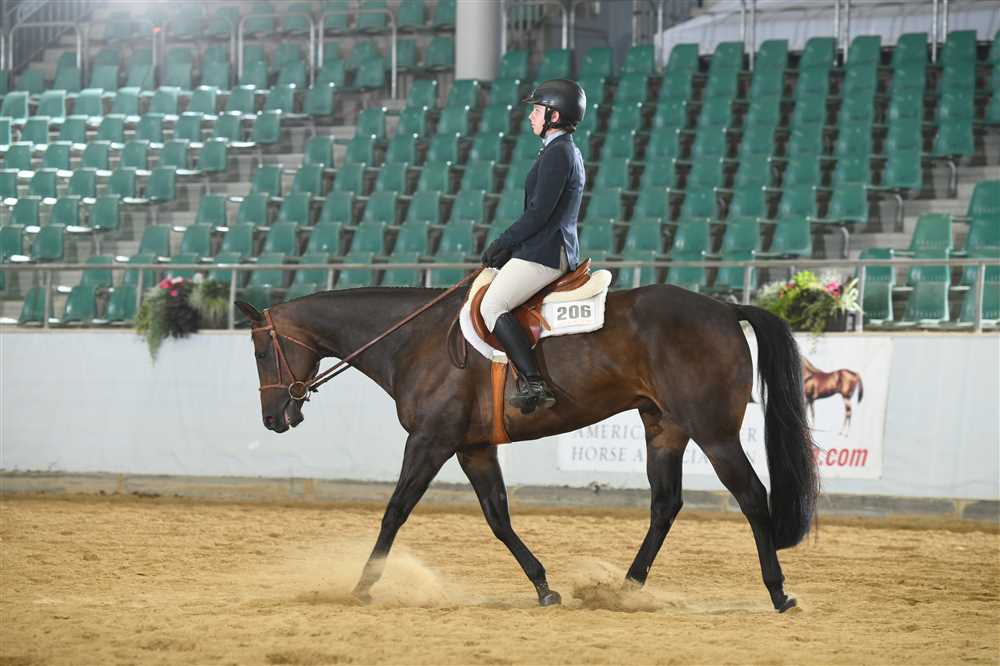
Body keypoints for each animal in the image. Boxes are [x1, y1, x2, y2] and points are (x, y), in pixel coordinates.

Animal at [235, 282, 819, 613]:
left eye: (262, 351)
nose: (272, 419)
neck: (414, 341)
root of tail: (724, 309)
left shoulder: (430, 440)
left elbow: (394, 511)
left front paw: (361, 586)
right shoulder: (472, 448)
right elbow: (498, 518)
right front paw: (543, 587)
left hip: (713, 431)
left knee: (752, 496)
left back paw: (777, 592)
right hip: (664, 427)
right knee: (665, 505)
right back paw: (625, 590)